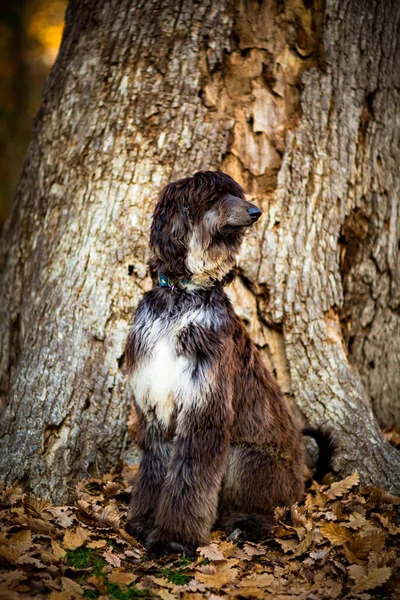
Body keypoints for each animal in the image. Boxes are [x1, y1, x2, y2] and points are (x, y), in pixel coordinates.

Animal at [125, 170, 306, 556]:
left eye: (236, 192)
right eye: (212, 196)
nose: (255, 212)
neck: (181, 299)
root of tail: (303, 484)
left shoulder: (203, 405)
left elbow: (189, 478)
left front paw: (174, 538)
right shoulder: (154, 405)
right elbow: (155, 469)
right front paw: (144, 522)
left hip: (247, 459)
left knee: (264, 511)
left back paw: (244, 525)